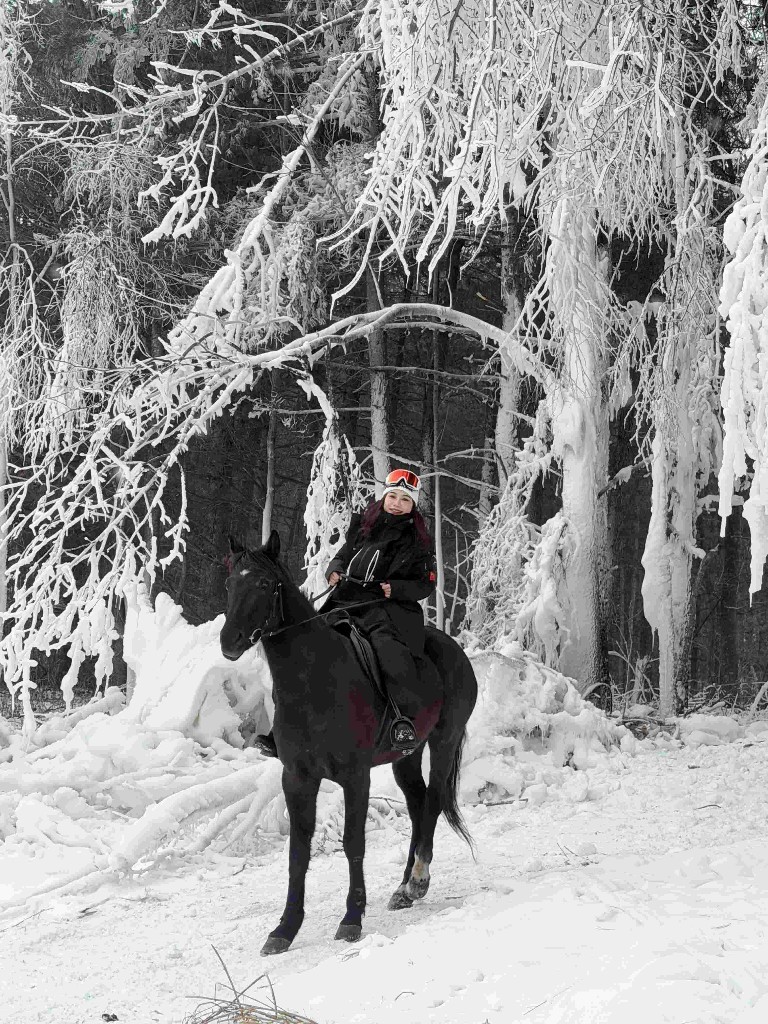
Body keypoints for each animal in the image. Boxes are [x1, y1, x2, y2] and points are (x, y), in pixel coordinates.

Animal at [219, 530, 478, 956]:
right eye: (230, 584)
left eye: (263, 583)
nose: (230, 640)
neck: (313, 680)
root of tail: (455, 650)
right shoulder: (298, 778)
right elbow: (298, 851)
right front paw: (285, 928)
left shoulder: (356, 776)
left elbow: (353, 843)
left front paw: (352, 919)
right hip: (406, 756)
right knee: (418, 804)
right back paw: (403, 889)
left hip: (444, 740)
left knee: (434, 801)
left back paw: (418, 880)